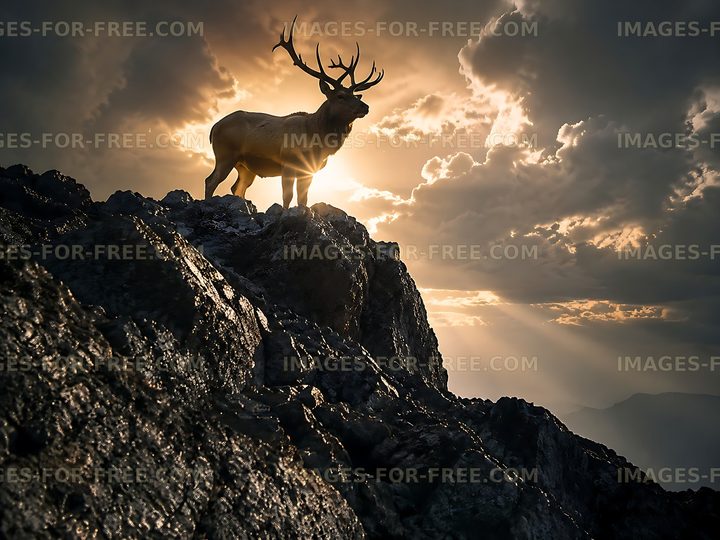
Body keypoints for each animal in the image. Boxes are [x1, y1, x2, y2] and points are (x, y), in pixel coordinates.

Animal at [204, 16, 384, 208]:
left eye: (356, 96)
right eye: (340, 96)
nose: (365, 106)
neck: (316, 138)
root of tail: (214, 127)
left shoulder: (309, 170)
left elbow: (303, 199)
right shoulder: (288, 163)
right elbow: (287, 196)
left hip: (245, 166)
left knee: (237, 187)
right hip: (225, 154)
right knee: (211, 181)